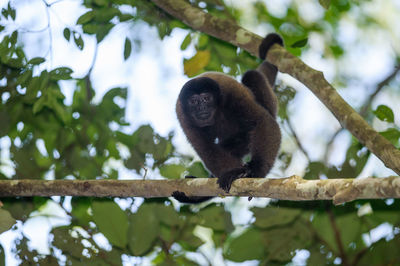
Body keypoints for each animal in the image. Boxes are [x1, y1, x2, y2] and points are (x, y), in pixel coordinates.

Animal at [173, 33, 284, 204]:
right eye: (193, 102)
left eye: (206, 99)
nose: (201, 108)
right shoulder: (182, 114)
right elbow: (207, 148)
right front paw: (234, 173)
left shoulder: (231, 94)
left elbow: (261, 120)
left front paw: (255, 170)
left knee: (252, 76)